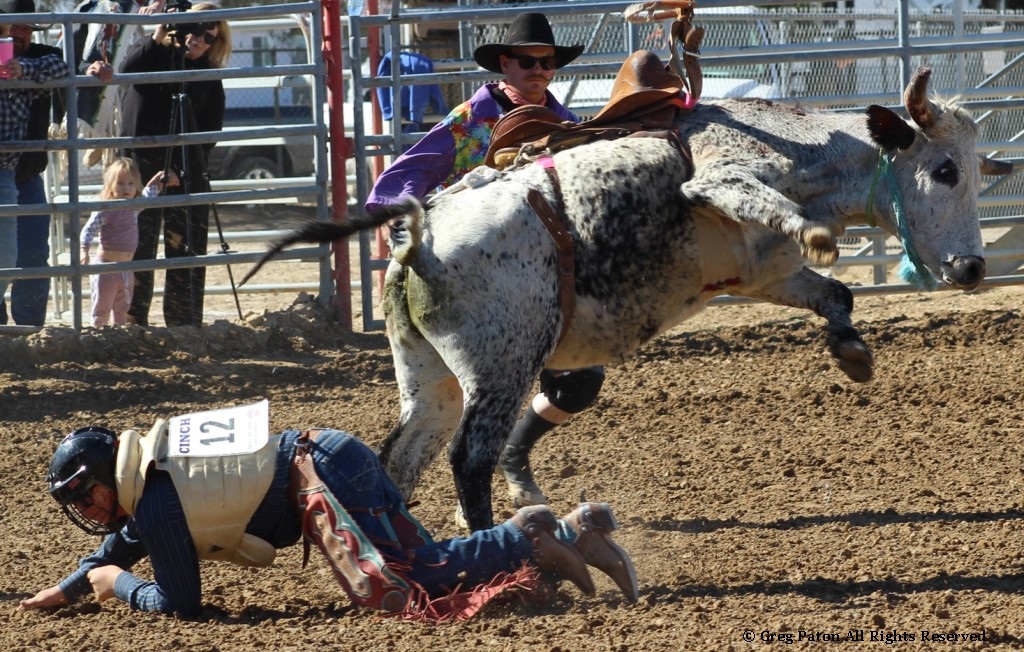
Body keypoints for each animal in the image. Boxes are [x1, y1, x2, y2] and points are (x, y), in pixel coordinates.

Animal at [243, 66, 1013, 532]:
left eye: (977, 173)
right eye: (944, 170)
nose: (974, 266)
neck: (807, 150)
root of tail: (422, 232)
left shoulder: (767, 276)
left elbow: (836, 294)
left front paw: (853, 352)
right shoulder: (721, 180)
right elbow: (770, 210)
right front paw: (821, 236)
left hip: (427, 374)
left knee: (404, 456)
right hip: (500, 365)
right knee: (468, 457)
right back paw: (492, 552)